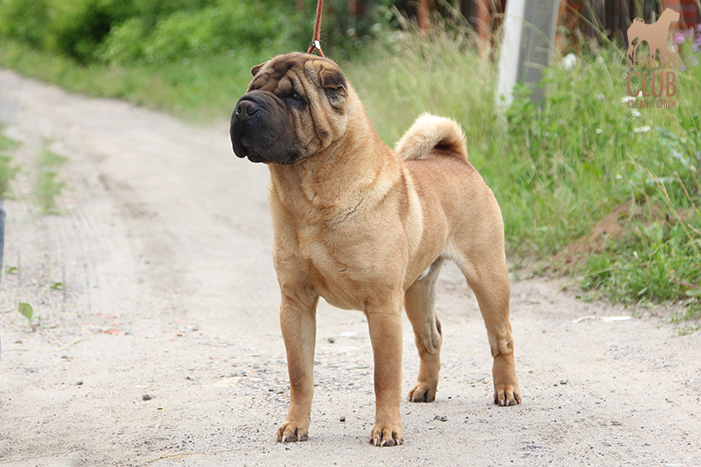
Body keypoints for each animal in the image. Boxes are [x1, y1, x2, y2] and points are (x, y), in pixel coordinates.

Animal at [230, 52, 520, 447]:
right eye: (253, 88)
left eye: (294, 98)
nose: (245, 107)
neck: (309, 193)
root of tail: (456, 157)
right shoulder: (296, 302)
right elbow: (300, 374)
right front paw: (295, 425)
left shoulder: (382, 306)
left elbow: (384, 376)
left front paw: (386, 429)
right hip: (417, 290)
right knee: (430, 337)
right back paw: (425, 389)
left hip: (487, 277)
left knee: (501, 338)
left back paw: (506, 390)